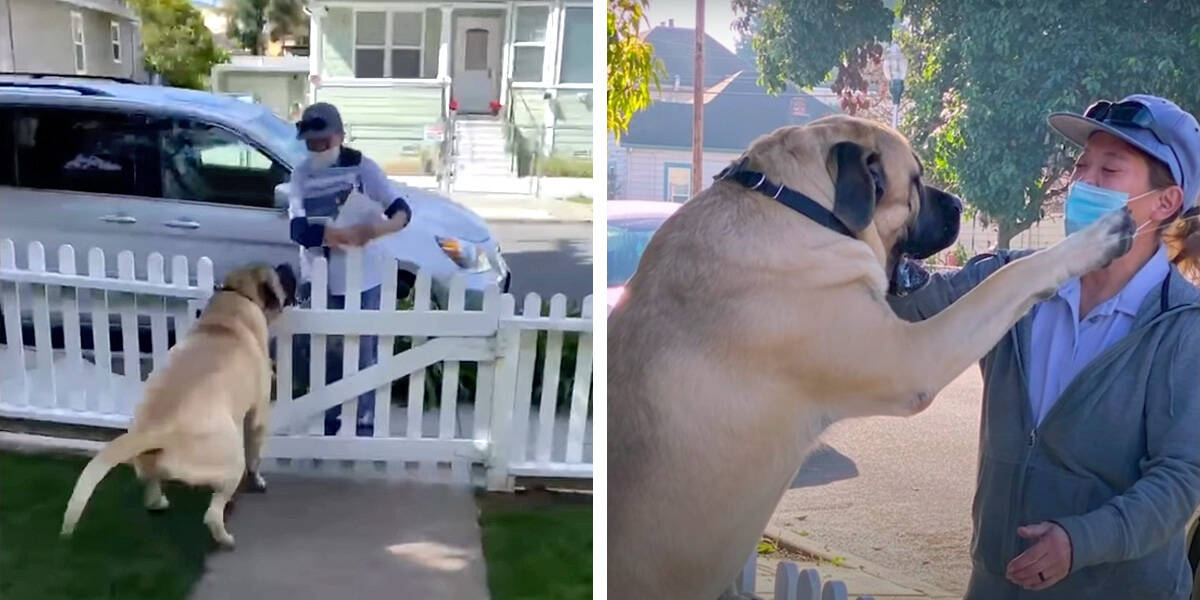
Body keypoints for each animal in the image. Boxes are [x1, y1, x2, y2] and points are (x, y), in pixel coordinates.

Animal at [59, 262, 298, 549]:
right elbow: (256, 454)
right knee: (213, 512)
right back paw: (225, 538)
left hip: (149, 463)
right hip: (230, 463)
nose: (287, 265)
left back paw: (158, 503)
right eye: (279, 274)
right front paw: (259, 480)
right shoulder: (258, 415)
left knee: (151, 488)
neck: (238, 297)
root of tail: (152, 429)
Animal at [609, 114, 1132, 597]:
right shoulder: (913, 357)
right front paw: (1094, 239)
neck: (792, 204)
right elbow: (1009, 277)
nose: (959, 204)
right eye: (916, 182)